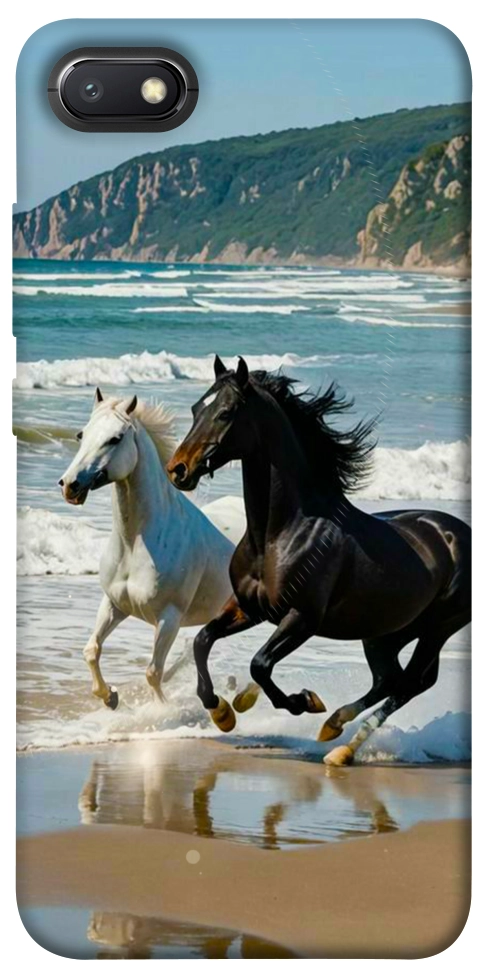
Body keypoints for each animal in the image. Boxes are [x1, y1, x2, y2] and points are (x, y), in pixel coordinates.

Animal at [59, 387, 234, 709]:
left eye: (115, 438)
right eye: (81, 434)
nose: (69, 485)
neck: (135, 544)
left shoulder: (169, 618)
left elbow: (153, 672)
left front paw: (161, 711)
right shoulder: (114, 604)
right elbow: (91, 650)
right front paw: (110, 697)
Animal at [166, 356, 471, 765]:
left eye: (226, 412)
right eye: (197, 408)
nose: (178, 469)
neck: (279, 534)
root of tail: (459, 534)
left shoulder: (303, 618)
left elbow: (260, 664)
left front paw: (303, 702)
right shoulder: (249, 608)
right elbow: (202, 641)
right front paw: (223, 712)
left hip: (438, 627)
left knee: (410, 683)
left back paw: (340, 746)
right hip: (386, 631)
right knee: (390, 679)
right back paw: (334, 729)